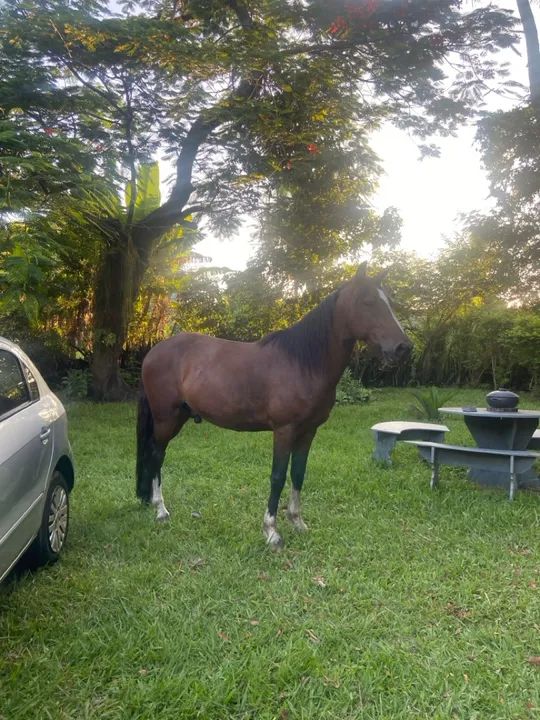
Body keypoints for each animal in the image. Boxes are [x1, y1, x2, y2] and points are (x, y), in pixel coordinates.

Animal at [136, 263, 411, 548]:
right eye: (368, 302)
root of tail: (154, 352)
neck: (303, 363)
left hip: (178, 417)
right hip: (166, 419)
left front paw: (298, 522)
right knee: (156, 454)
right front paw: (271, 532)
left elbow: (298, 473)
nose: (403, 347)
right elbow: (277, 476)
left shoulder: (308, 431)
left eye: (390, 302)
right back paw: (161, 510)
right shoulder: (284, 430)